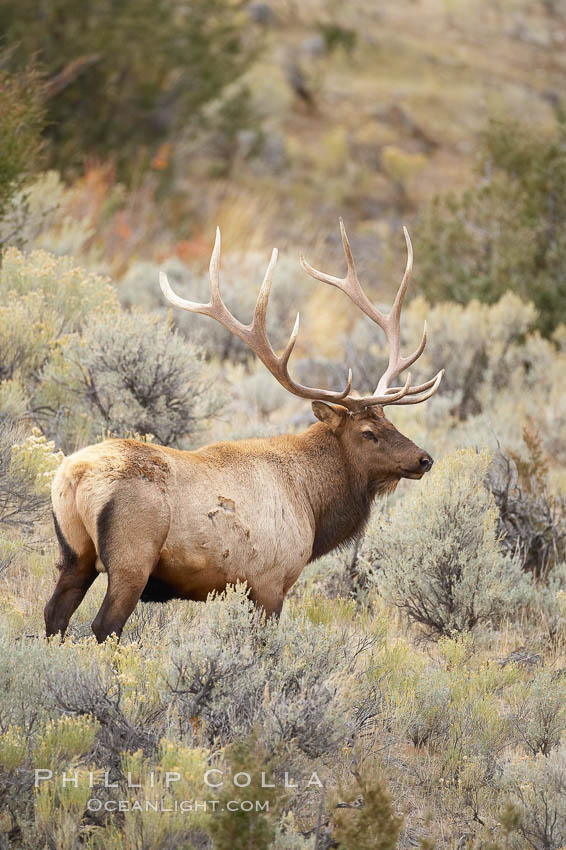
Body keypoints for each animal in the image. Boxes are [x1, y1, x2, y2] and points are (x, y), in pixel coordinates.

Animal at [46, 219, 444, 636]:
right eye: (368, 433)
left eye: (390, 421)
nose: (424, 459)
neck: (312, 504)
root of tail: (75, 476)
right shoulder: (270, 580)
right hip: (131, 557)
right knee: (104, 625)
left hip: (74, 554)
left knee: (54, 615)